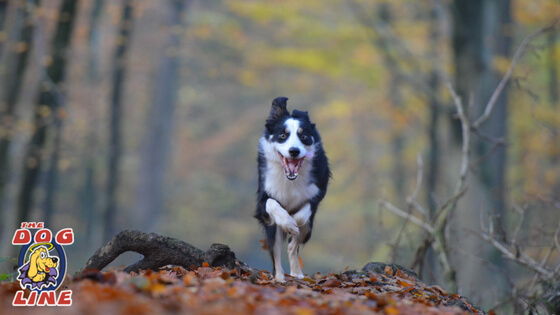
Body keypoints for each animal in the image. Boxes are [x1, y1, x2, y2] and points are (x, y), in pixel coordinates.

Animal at [256, 97, 330, 284]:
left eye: (304, 137)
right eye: (283, 135)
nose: (294, 151)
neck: (290, 179)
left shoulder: (317, 192)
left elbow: (303, 216)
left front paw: (293, 223)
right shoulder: (263, 196)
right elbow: (272, 204)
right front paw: (288, 222)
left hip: (308, 230)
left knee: (292, 245)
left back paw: (297, 273)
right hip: (272, 229)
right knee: (276, 251)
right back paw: (280, 278)